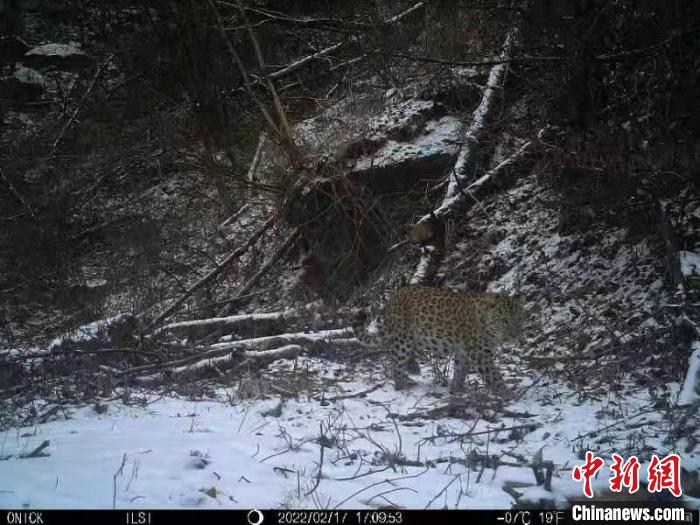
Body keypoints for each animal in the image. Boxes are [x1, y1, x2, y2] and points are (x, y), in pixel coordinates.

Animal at [370, 284, 524, 396]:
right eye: (504, 320)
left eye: (520, 318)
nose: (515, 336)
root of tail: (393, 297)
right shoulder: (479, 354)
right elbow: (493, 374)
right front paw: (506, 393)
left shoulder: (463, 351)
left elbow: (461, 369)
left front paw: (456, 388)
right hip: (403, 339)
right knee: (396, 363)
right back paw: (402, 386)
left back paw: (412, 370)